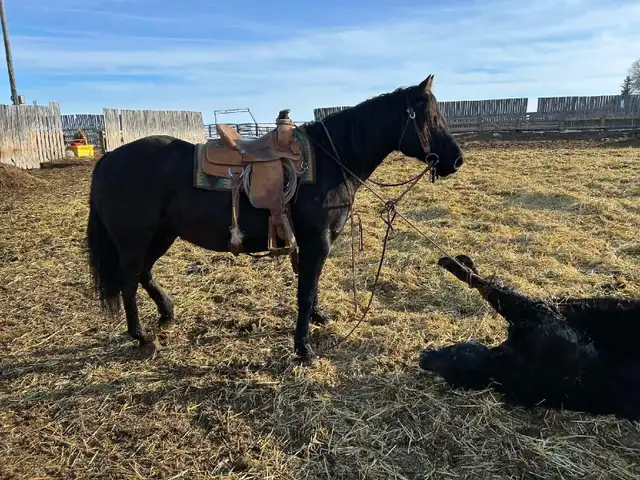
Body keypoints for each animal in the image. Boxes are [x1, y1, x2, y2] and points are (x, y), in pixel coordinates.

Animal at [86, 74, 465, 364]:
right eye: (431, 119)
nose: (457, 160)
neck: (330, 162)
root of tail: (108, 160)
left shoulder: (312, 245)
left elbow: (312, 286)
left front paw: (318, 319)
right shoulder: (316, 242)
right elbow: (306, 292)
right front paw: (304, 348)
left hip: (161, 235)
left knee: (143, 274)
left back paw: (166, 312)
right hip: (135, 240)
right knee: (128, 282)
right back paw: (140, 335)